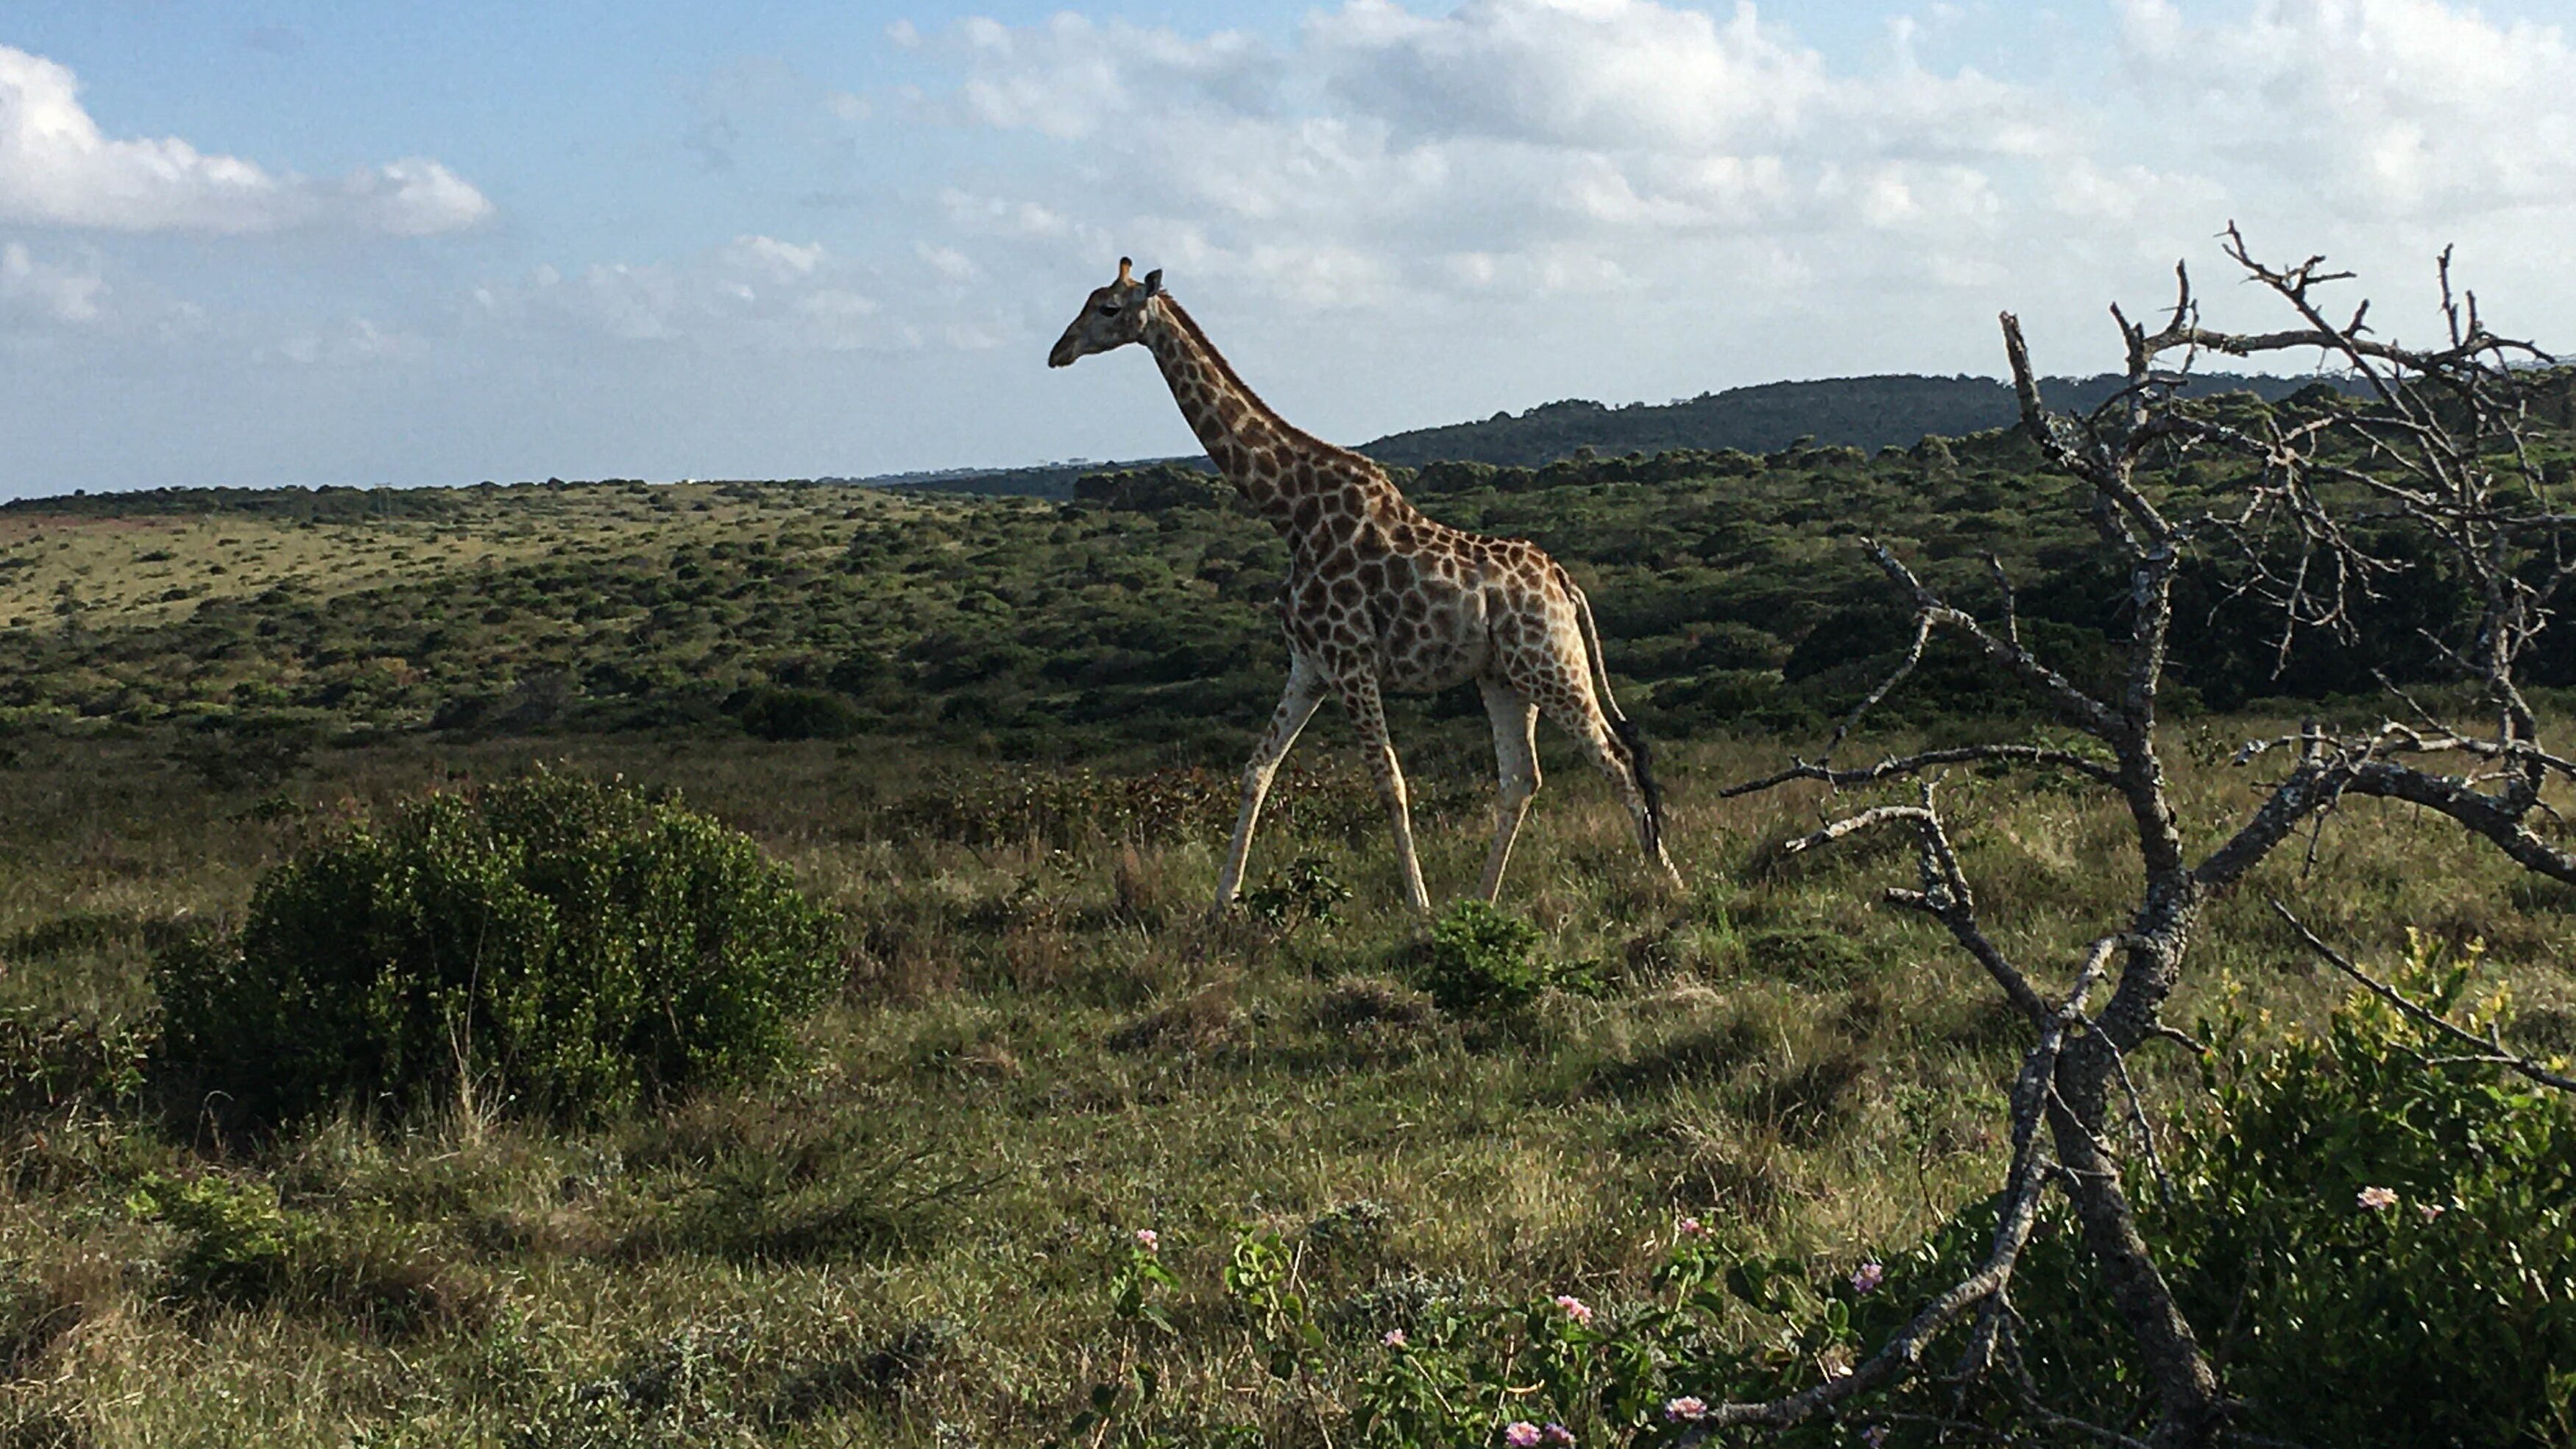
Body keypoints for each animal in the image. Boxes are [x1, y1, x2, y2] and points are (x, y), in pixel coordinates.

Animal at [1051, 257, 1690, 916]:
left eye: (1107, 307)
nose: (1058, 351)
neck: (1292, 512)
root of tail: (1566, 582)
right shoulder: (1310, 664)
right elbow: (1257, 770)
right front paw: (1222, 901)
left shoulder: (1351, 660)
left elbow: (1389, 781)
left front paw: (1419, 907)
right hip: (1506, 676)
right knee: (1522, 777)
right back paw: (1483, 900)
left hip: (1554, 666)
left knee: (1615, 759)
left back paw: (1669, 881)